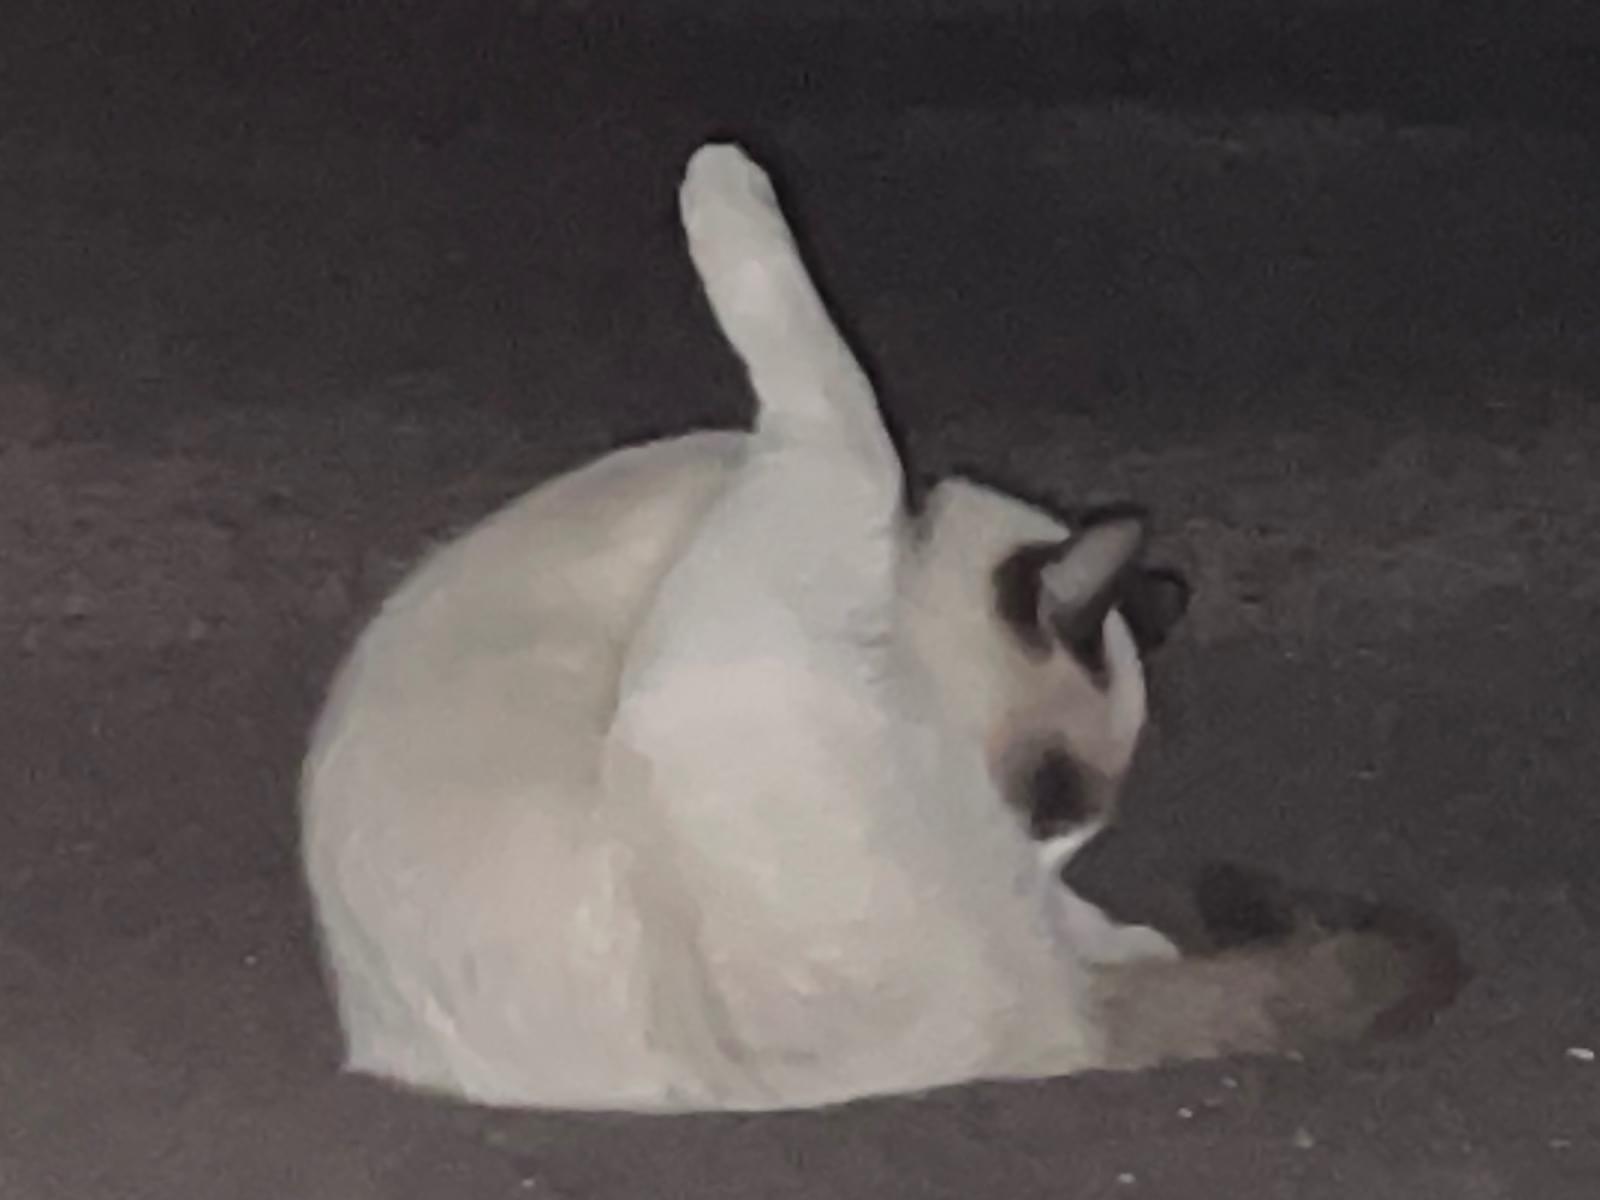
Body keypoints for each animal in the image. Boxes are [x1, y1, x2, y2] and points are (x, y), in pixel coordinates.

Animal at [300, 142, 1463, 1113]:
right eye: (1043, 807)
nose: (1017, 863)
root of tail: (1042, 1028)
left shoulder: (822, 482)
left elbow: (834, 381)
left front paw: (720, 181)